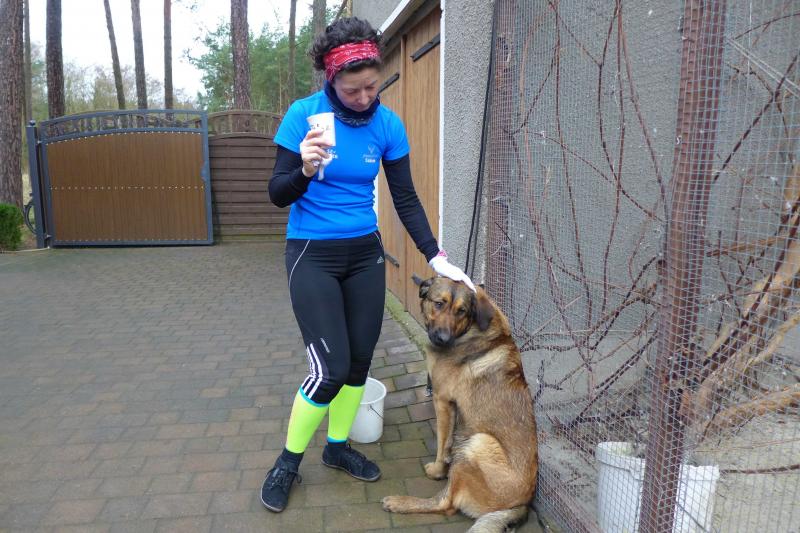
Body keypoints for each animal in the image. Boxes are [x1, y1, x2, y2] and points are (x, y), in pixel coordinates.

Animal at [382, 277, 538, 532]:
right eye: (439, 303)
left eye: (461, 311)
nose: (443, 339)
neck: (470, 330)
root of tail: (521, 505)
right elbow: (445, 446)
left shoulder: (442, 400)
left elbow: (442, 443)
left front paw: (437, 471)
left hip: (477, 442)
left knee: (445, 504)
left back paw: (399, 502)